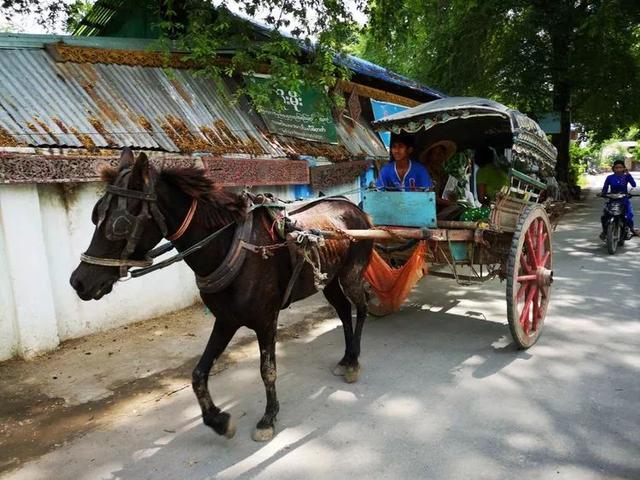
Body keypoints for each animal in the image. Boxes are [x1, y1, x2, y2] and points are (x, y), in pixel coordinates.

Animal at [71, 147, 376, 442]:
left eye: (119, 224)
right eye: (95, 215)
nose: (79, 282)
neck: (231, 245)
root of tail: (354, 208)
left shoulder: (266, 321)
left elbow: (267, 371)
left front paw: (268, 418)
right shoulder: (226, 320)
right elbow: (198, 374)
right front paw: (218, 421)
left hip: (350, 276)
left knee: (360, 309)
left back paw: (354, 360)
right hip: (329, 281)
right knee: (343, 312)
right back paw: (346, 358)